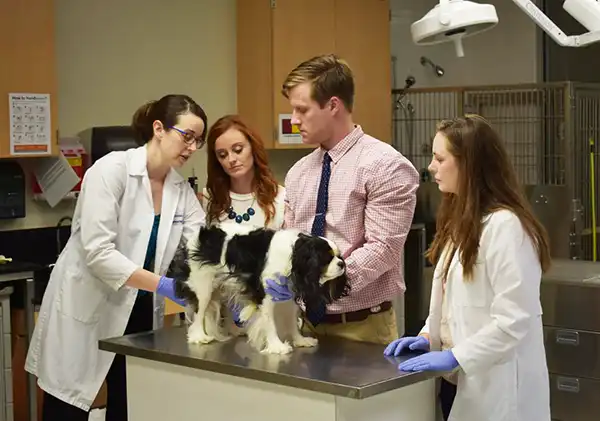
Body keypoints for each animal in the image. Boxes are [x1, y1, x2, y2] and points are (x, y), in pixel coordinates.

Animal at [166, 225, 350, 352]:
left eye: (338, 256)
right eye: (326, 258)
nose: (342, 264)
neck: (294, 256)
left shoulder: (288, 297)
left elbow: (292, 321)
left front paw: (300, 340)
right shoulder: (266, 297)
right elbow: (270, 323)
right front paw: (277, 347)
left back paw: (234, 330)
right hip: (203, 287)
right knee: (199, 313)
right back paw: (199, 336)